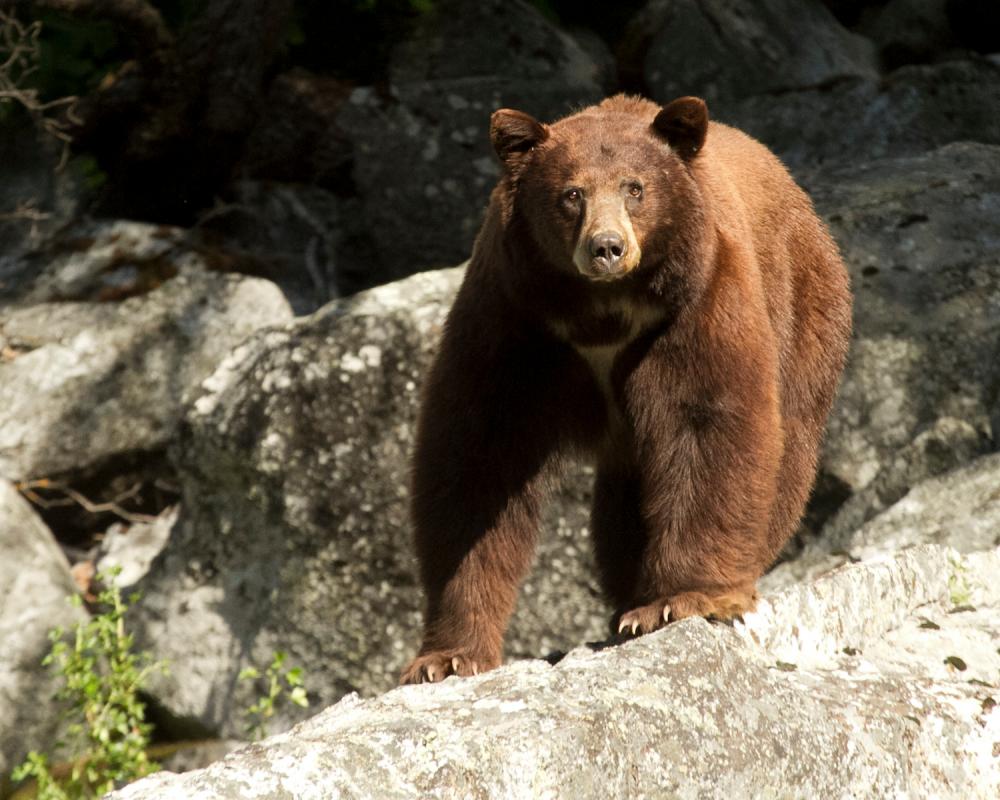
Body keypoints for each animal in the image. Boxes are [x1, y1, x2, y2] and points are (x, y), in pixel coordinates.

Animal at [399, 94, 852, 684]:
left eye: (635, 188)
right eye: (571, 194)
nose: (607, 247)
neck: (603, 312)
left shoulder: (694, 305)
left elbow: (707, 423)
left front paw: (680, 599)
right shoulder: (515, 320)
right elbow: (478, 457)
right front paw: (447, 656)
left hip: (804, 312)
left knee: (786, 453)